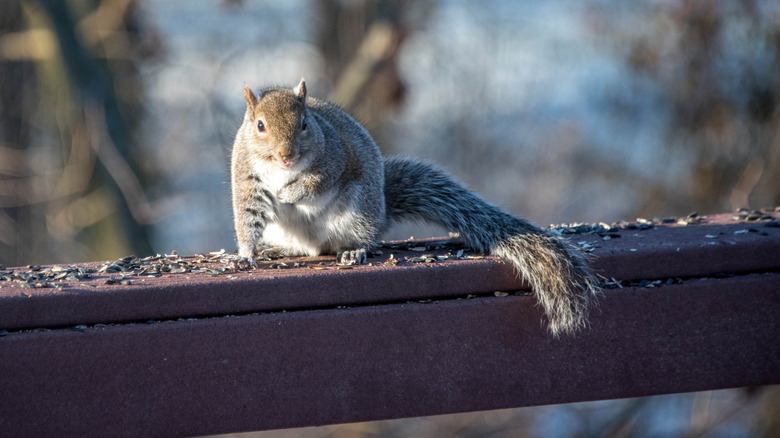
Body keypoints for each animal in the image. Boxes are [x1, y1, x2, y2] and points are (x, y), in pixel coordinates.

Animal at [231, 78, 599, 336]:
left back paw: (353, 250)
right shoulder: (247, 179)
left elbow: (317, 182)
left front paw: (290, 193)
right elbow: (248, 216)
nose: (286, 155)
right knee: (307, 250)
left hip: (358, 212)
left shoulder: (334, 159)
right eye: (260, 125)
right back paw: (279, 250)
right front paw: (246, 255)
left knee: (356, 240)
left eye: (305, 123)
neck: (282, 169)